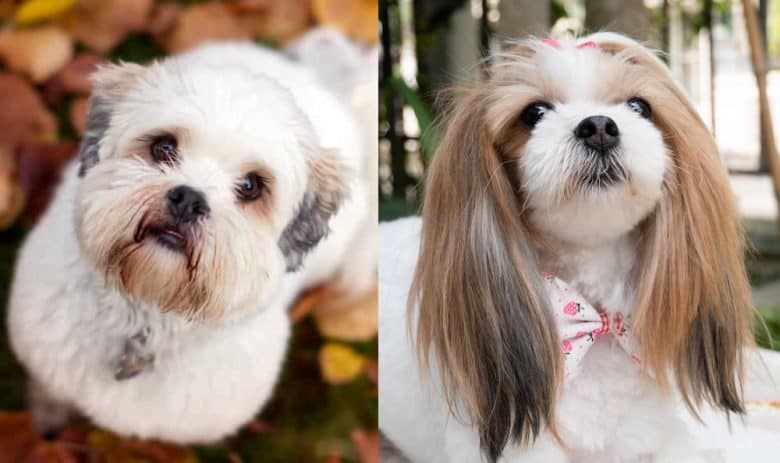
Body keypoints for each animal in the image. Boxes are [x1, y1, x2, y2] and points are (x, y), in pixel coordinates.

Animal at [7, 30, 376, 444]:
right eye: (163, 146)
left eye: (252, 185)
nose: (188, 199)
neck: (145, 316)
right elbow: (48, 391)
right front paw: (45, 421)